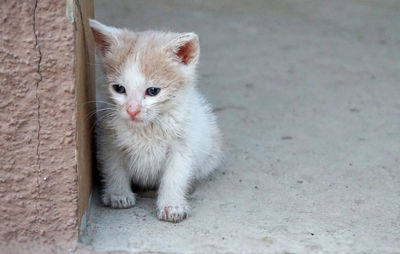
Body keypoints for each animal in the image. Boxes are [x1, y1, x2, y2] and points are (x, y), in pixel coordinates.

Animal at [89, 19, 223, 222]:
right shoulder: (109, 140)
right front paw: (118, 194)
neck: (147, 128)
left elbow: (175, 176)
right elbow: (114, 168)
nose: (132, 110)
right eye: (119, 88)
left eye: (153, 91)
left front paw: (172, 205)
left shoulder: (182, 146)